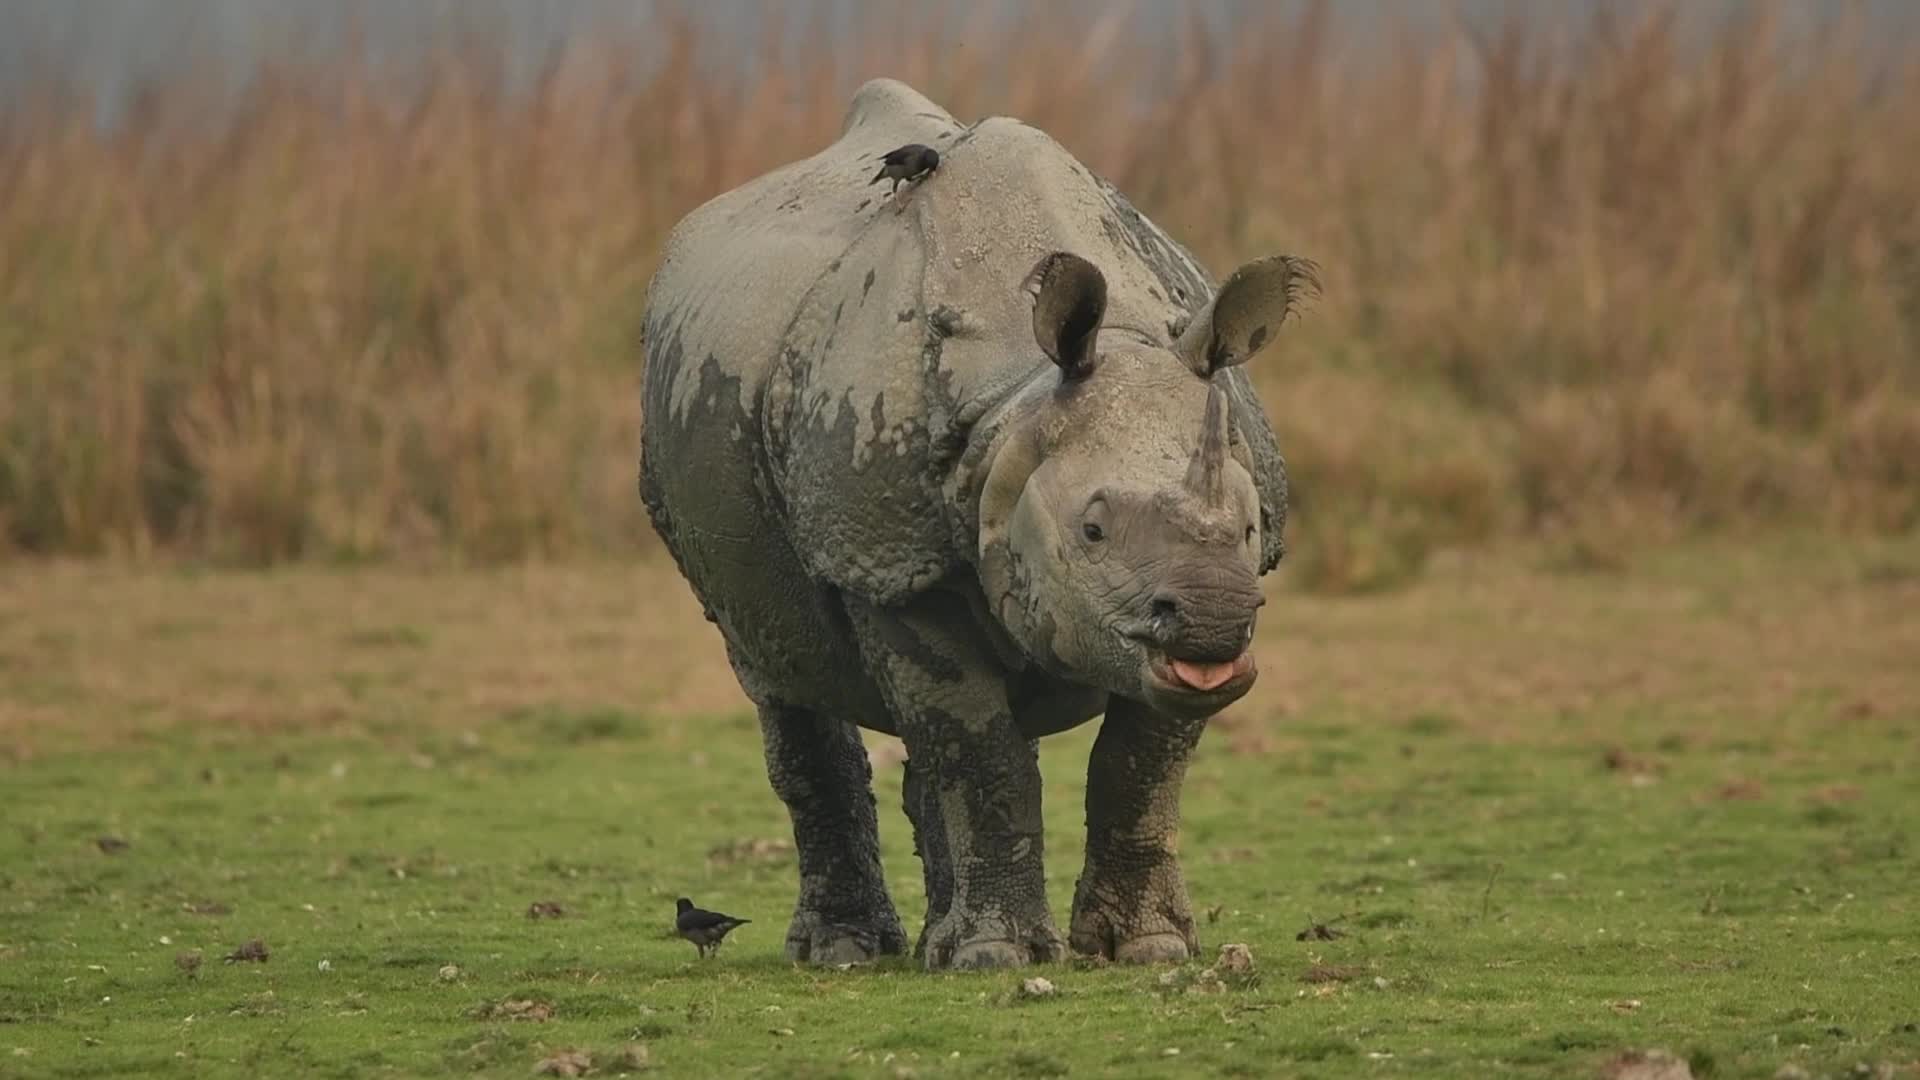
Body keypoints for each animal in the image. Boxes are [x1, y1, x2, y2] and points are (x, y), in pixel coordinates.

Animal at [638, 78, 1316, 970]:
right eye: (1092, 531)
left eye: (1247, 532)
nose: (1215, 616)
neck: (1018, 405)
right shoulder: (884, 560)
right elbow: (976, 748)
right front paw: (997, 956)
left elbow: (1138, 767)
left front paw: (1146, 949)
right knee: (782, 679)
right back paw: (850, 952)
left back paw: (933, 942)